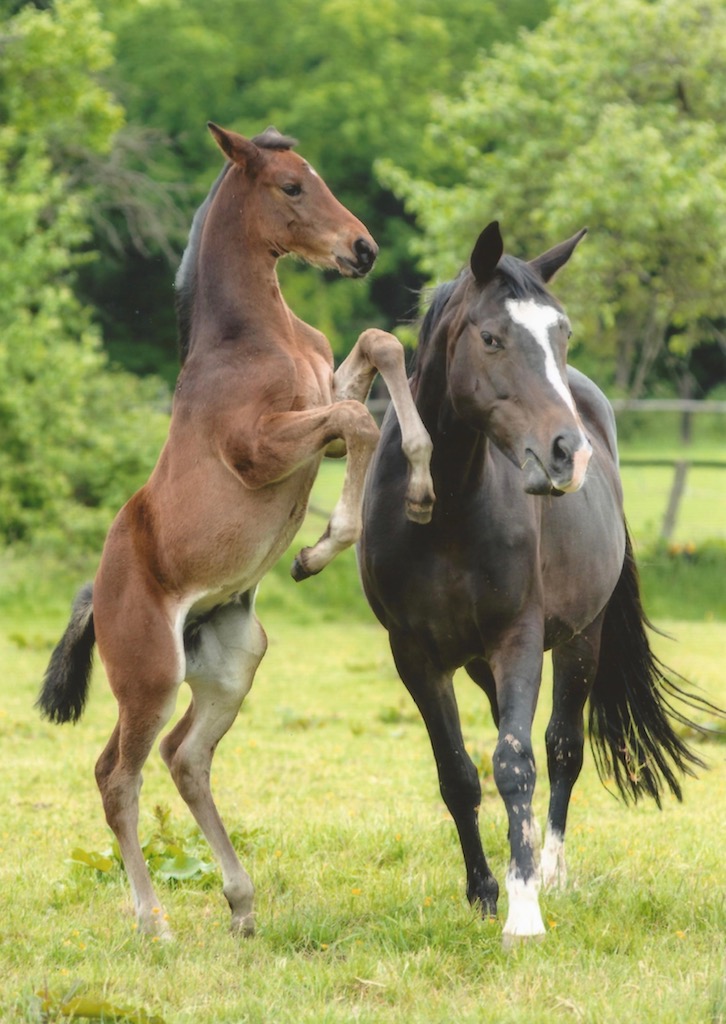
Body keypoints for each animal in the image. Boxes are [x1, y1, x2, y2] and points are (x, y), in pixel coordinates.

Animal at [38, 123, 430, 937]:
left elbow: (378, 347)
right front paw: (319, 550)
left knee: (185, 759)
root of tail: (98, 594)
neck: (256, 335)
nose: (363, 249)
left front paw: (420, 479)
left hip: (232, 663)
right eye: (290, 186)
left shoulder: (321, 405)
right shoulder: (262, 449)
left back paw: (242, 904)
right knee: (116, 774)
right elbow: (358, 418)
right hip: (150, 677)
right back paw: (153, 921)